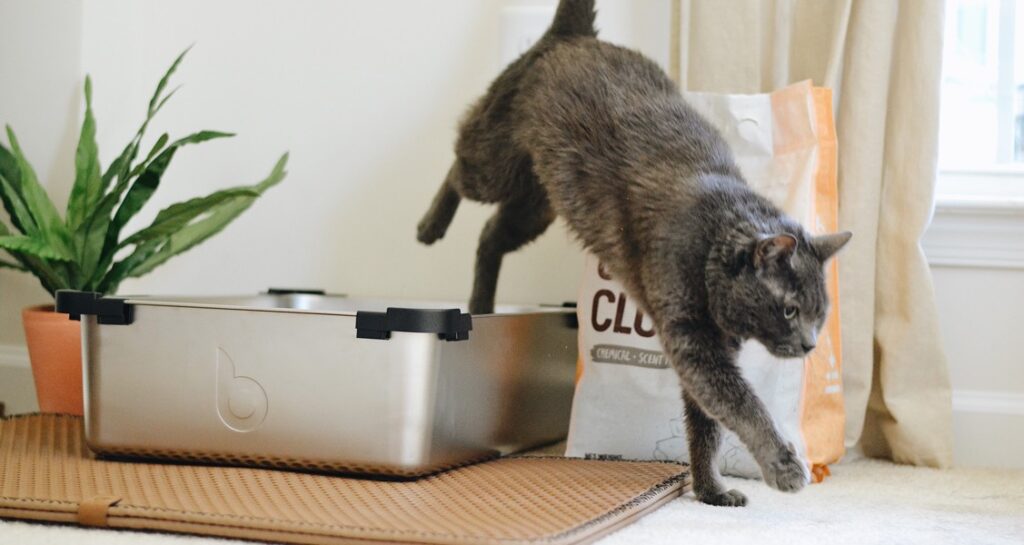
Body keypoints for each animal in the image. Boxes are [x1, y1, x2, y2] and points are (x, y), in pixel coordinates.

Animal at [413, 0, 847, 506]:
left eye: (820, 314)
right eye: (790, 309)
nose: (810, 344)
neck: (711, 245)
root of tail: (573, 35)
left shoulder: (704, 351)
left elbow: (706, 428)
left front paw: (711, 490)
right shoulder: (695, 343)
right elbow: (743, 406)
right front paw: (784, 467)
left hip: (537, 202)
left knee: (489, 235)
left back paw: (481, 302)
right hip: (496, 163)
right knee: (458, 168)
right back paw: (429, 227)